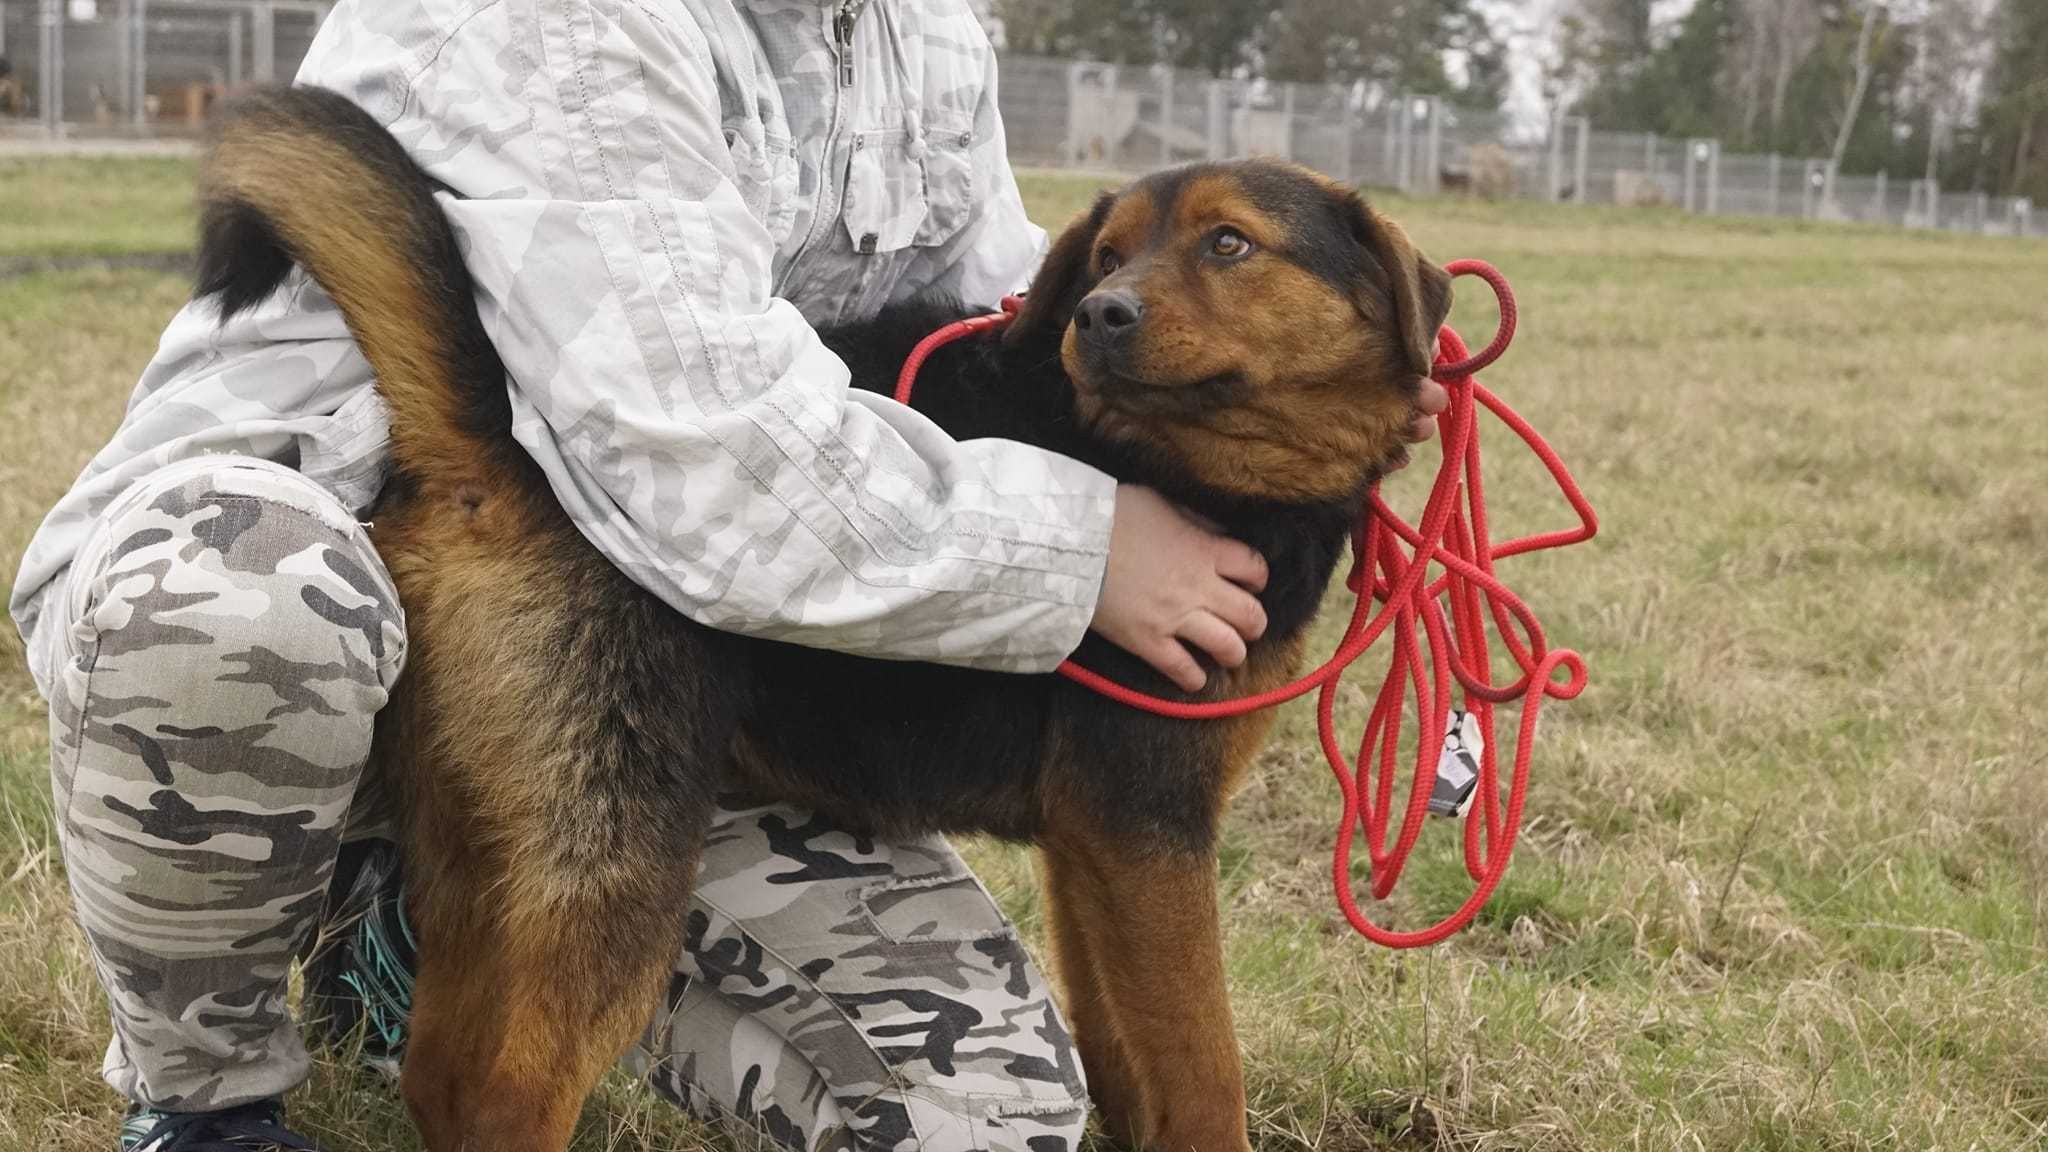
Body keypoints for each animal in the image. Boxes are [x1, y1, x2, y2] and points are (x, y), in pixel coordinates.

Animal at [188, 85, 1441, 1139]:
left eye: (1227, 244)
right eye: (1108, 254)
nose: (1098, 314)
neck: (1170, 460)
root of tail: (499, 440)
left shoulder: (1098, 853)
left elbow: (1132, 1066)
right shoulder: (1149, 833)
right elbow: (1203, 1074)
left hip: (484, 842)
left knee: (442, 1069)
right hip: (613, 856)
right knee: (506, 1088)